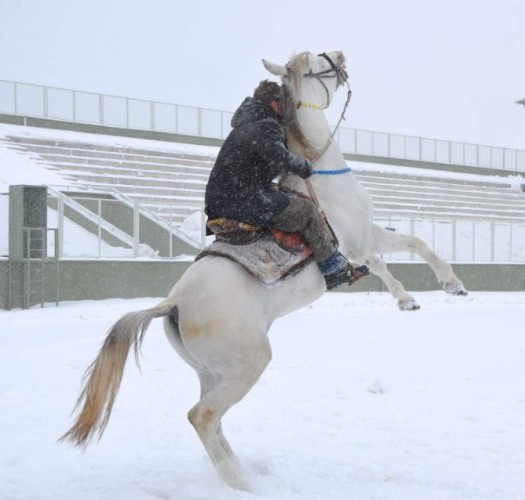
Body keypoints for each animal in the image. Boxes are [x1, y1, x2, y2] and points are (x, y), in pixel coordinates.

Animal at [61, 51, 466, 492]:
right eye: (315, 65)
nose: (340, 57)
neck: (321, 174)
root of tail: (174, 303)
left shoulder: (361, 243)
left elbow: (388, 260)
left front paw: (408, 299)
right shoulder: (360, 237)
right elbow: (412, 245)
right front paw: (451, 284)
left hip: (212, 373)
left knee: (213, 422)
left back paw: (241, 473)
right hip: (247, 364)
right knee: (202, 416)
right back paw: (243, 482)